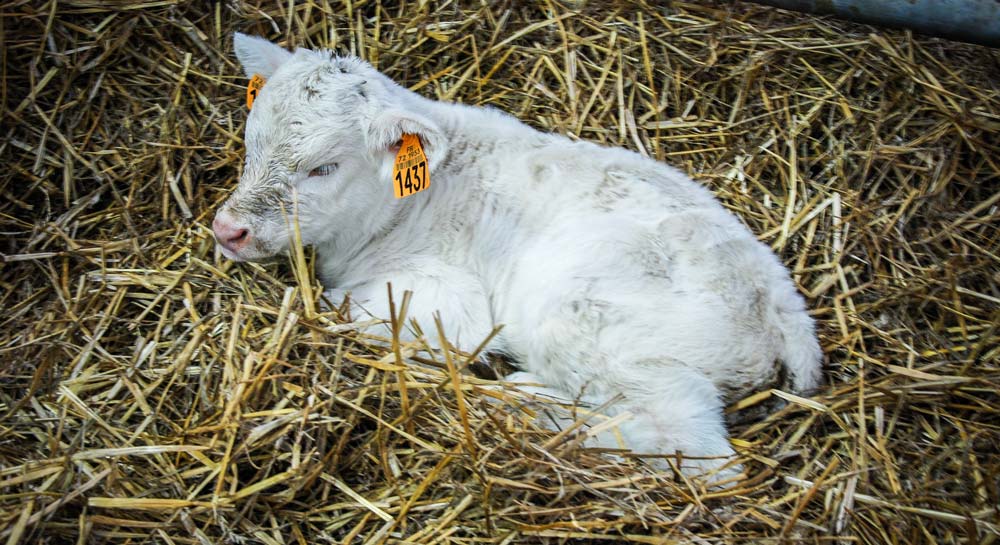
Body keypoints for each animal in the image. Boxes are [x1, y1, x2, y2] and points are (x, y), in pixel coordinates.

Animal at [217, 33, 820, 476]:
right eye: (251, 143)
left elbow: (348, 310)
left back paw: (520, 403)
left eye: (324, 167)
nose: (228, 230)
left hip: (584, 323)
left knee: (693, 449)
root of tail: (780, 304)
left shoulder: (445, 302)